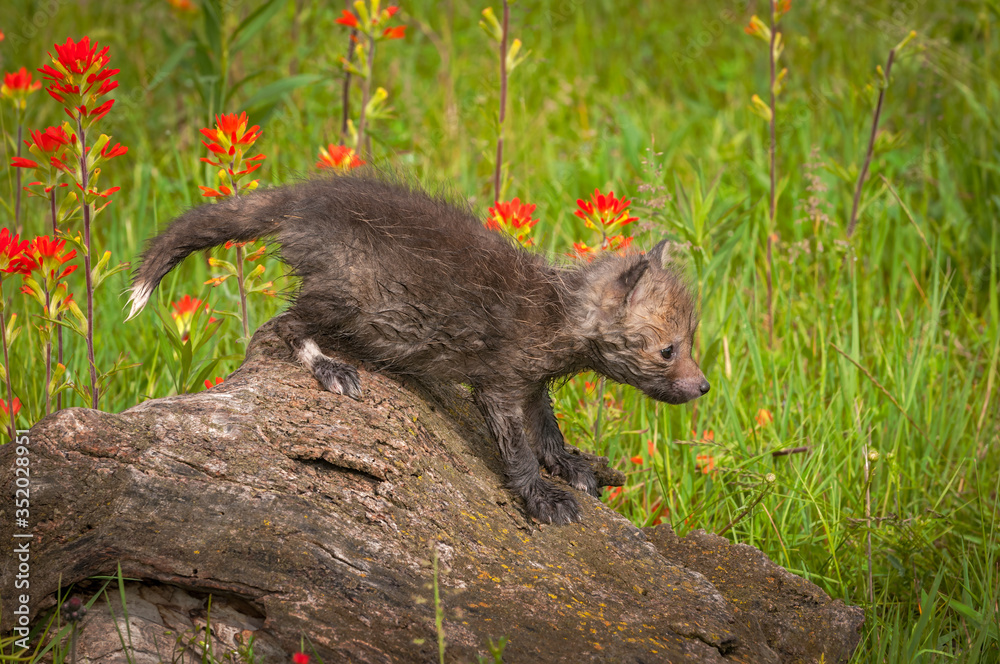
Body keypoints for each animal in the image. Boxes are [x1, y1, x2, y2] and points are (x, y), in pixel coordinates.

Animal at [126, 173, 709, 525]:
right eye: (668, 350)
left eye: (692, 342)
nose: (703, 386)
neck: (554, 312)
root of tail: (305, 195)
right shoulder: (499, 383)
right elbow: (518, 449)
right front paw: (543, 498)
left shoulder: (532, 383)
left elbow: (548, 430)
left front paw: (571, 466)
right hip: (351, 295)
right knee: (284, 322)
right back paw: (331, 369)